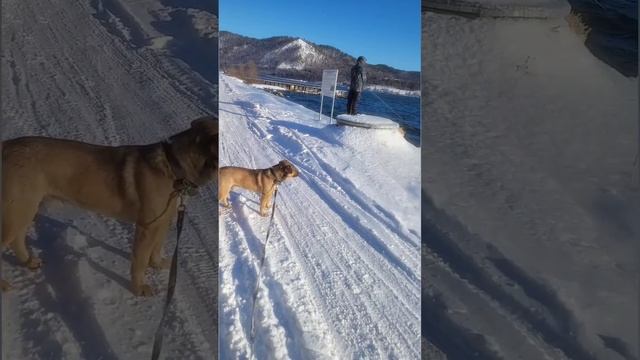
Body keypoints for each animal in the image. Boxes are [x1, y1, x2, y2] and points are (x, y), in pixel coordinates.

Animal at [0, 115, 218, 296]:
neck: (174, 167)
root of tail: (6, 146)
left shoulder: (163, 221)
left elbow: (157, 247)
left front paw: (156, 264)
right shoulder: (146, 227)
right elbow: (140, 261)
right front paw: (139, 288)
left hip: (26, 209)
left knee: (17, 239)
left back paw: (29, 262)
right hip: (19, 210)